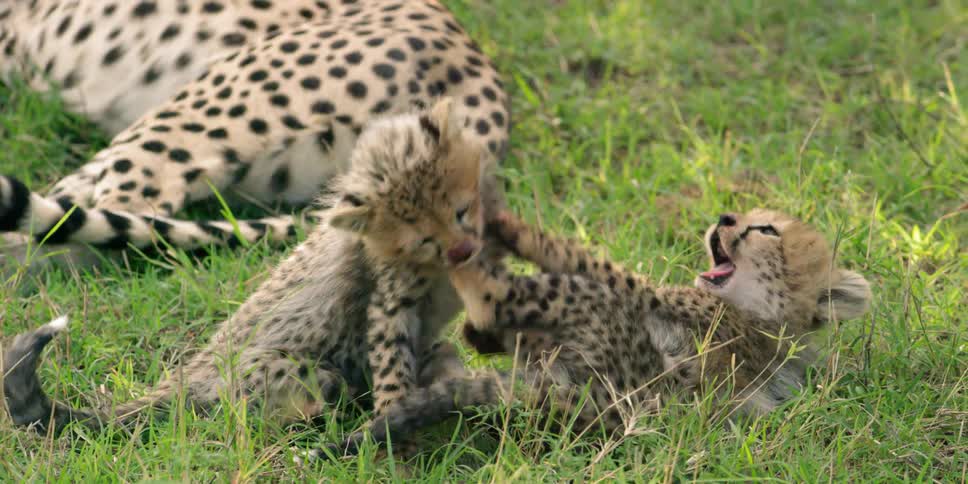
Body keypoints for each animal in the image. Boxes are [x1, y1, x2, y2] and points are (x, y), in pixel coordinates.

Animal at [2, 97, 502, 440]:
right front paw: (392, 426)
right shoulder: (387, 302)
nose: (462, 251)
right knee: (290, 403)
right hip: (289, 375)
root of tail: (184, 378)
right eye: (421, 239)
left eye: (461, 211)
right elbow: (390, 359)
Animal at [319, 208, 873, 458]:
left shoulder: (652, 299)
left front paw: (512, 229)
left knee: (531, 292)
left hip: (597, 338)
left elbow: (585, 260)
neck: (761, 318)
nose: (726, 216)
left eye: (766, 230)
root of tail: (591, 406)